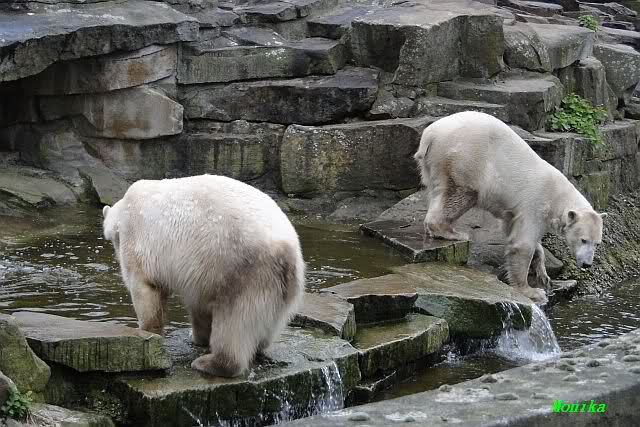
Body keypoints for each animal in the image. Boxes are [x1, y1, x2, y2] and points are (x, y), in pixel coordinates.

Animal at [102, 174, 305, 377]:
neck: (125, 211)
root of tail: (285, 252)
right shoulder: (200, 274)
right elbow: (199, 305)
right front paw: (197, 336)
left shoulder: (137, 240)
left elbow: (145, 290)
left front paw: (148, 332)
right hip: (284, 288)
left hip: (244, 271)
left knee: (233, 321)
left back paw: (209, 363)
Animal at [414, 111, 606, 304]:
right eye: (583, 240)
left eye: (597, 243)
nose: (587, 264)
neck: (558, 195)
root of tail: (430, 134)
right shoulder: (535, 204)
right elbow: (522, 244)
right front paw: (531, 291)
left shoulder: (515, 214)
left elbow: (515, 232)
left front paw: (543, 274)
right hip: (464, 157)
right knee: (461, 193)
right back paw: (451, 232)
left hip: (433, 164)